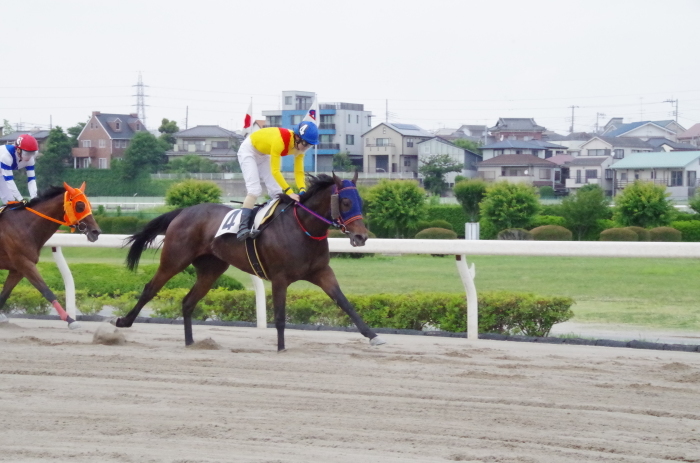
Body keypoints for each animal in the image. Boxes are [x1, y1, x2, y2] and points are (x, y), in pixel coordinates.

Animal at [0, 183, 102, 328]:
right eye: (80, 205)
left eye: (89, 204)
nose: (96, 231)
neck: (23, 226)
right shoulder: (25, 264)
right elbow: (46, 291)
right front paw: (70, 320)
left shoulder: (17, 270)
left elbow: (4, 295)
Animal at [116, 174, 388, 352]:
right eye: (345, 202)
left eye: (361, 202)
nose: (361, 237)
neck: (303, 229)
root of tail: (183, 211)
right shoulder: (280, 278)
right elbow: (280, 315)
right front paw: (281, 347)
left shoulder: (321, 271)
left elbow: (344, 302)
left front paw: (373, 336)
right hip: (174, 259)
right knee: (151, 288)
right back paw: (123, 322)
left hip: (211, 269)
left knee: (188, 302)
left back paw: (191, 342)